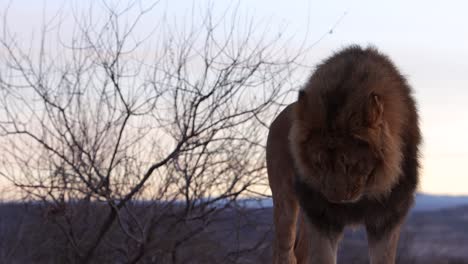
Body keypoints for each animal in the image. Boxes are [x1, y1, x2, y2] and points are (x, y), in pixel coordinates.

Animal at [266, 46, 420, 264]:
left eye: (350, 163)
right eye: (318, 164)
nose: (335, 200)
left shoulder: (386, 219)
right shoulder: (322, 216)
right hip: (286, 201)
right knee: (284, 251)